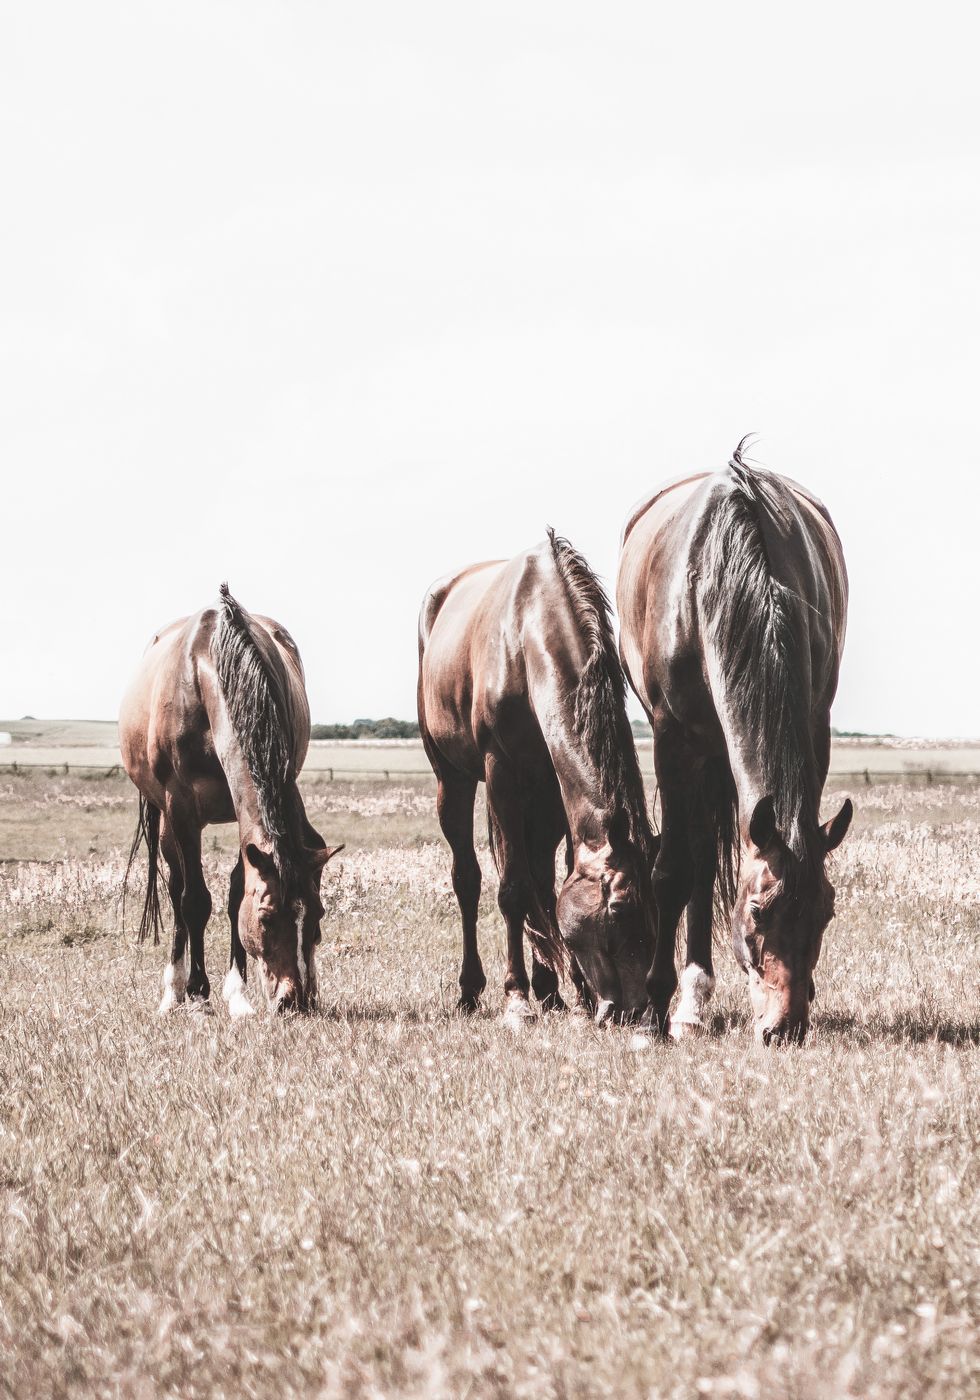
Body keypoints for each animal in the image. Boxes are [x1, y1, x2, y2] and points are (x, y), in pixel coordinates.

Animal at [120, 582, 343, 1019]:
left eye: (319, 914)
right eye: (267, 917)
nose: (296, 1000)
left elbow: (235, 894)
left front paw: (237, 994)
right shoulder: (181, 809)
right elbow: (193, 901)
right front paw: (197, 990)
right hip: (168, 823)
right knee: (177, 890)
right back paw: (175, 990)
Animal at [414, 529, 658, 1024]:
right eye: (619, 909)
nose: (636, 1012)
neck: (526, 639)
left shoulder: (553, 789)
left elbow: (551, 883)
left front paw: (573, 994)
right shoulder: (502, 777)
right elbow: (512, 887)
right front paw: (517, 998)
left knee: (541, 884)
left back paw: (551, 990)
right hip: (453, 778)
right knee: (468, 878)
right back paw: (473, 991)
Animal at [618, 442, 851, 1047]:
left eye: (826, 912)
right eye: (758, 913)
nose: (784, 1028)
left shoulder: (815, 726)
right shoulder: (674, 739)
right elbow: (672, 871)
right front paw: (652, 1013)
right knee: (698, 856)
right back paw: (686, 1005)